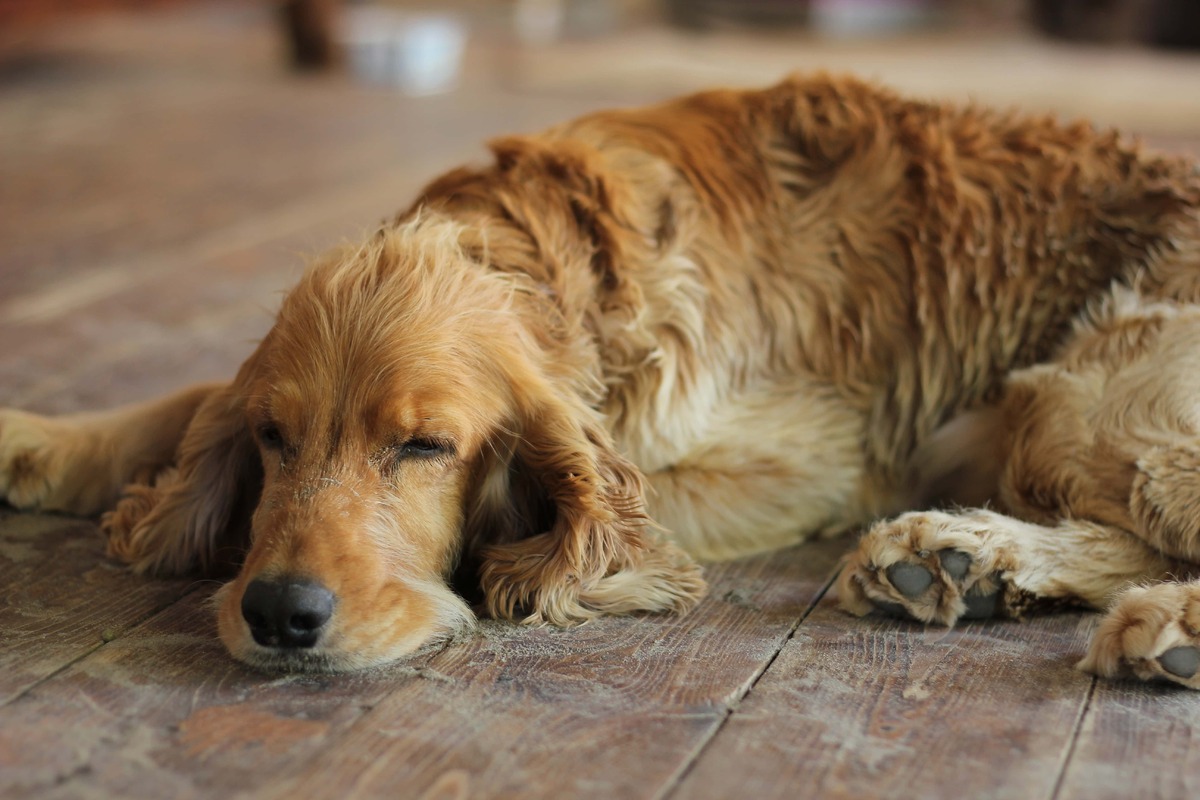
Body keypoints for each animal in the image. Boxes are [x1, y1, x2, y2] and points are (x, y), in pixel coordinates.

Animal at [2, 73, 1200, 676]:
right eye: (273, 441)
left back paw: (1152, 624)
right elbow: (193, 396)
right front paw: (43, 439)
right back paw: (966, 560)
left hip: (1087, 396)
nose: (278, 612)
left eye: (425, 445)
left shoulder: (818, 460)